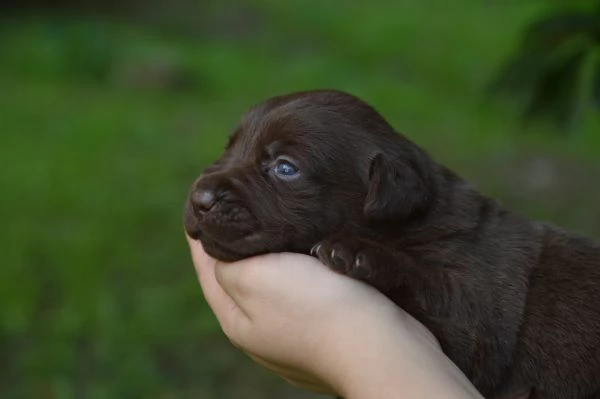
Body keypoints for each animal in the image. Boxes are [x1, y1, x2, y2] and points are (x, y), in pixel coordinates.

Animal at [183, 90, 600, 399]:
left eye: (286, 168)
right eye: (229, 148)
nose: (199, 198)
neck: (409, 223)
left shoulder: (479, 313)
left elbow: (434, 287)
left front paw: (358, 252)